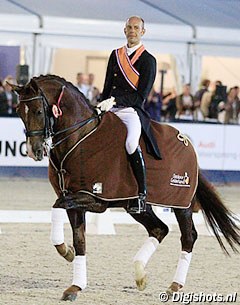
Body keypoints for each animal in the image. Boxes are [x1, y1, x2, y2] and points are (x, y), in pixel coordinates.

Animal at [12, 75, 239, 300]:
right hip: (138, 207)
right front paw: (74, 281)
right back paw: (140, 275)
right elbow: (79, 240)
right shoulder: (73, 198)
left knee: (188, 236)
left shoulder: (95, 198)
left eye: (38, 111)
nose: (33, 151)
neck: (79, 138)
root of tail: (186, 142)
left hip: (181, 204)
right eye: (18, 112)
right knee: (160, 229)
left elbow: (58, 206)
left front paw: (65, 253)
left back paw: (174, 286)